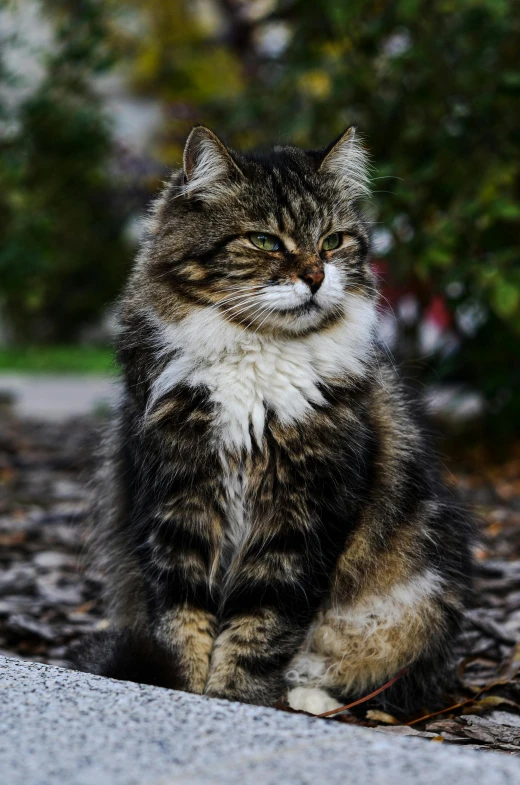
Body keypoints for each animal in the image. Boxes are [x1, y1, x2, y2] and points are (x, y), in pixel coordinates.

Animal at [73, 124, 476, 716]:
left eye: (332, 242)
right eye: (265, 242)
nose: (316, 276)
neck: (257, 356)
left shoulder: (302, 515)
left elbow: (261, 627)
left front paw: (234, 700)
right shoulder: (178, 501)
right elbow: (182, 622)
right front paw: (187, 693)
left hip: (414, 605)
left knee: (365, 679)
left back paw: (310, 700)